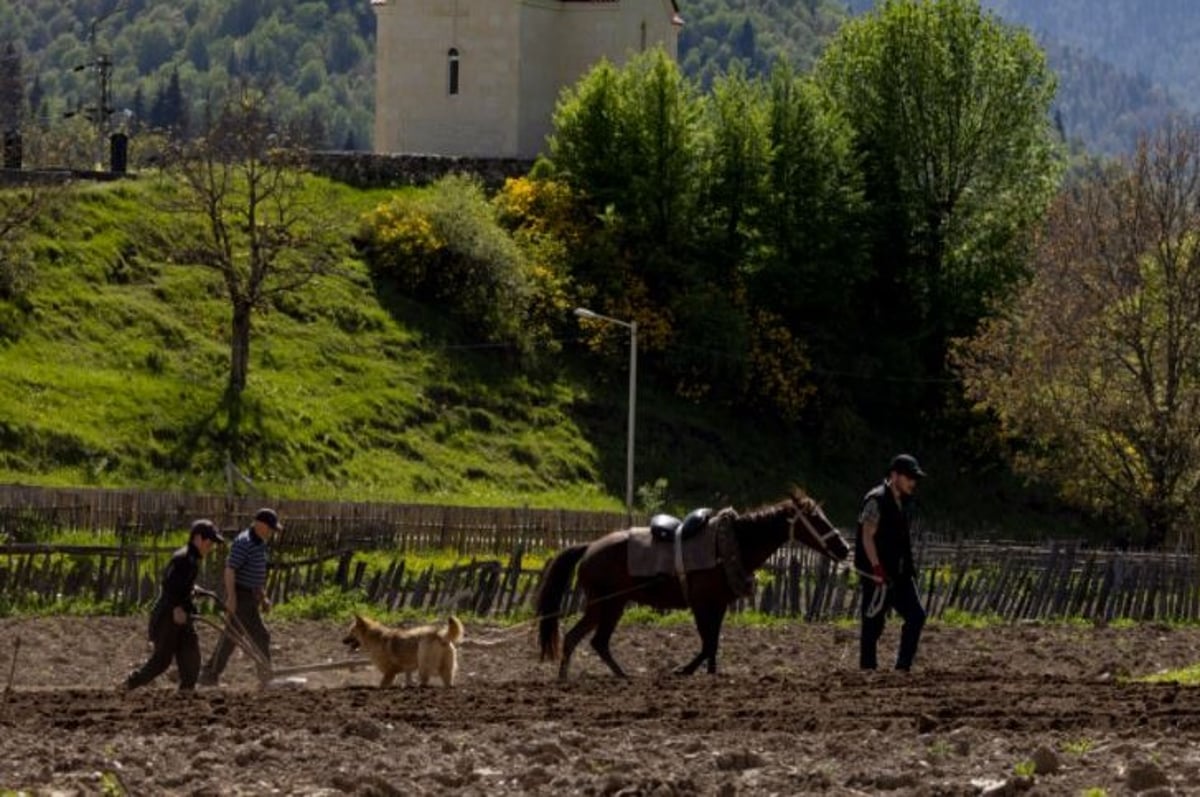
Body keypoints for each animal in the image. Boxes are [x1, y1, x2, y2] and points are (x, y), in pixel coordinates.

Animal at [540, 492, 849, 676]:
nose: (845, 548)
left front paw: (708, 673)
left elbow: (712, 644)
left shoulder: (718, 606)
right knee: (585, 639)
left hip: (610, 605)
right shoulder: (702, 605)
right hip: (606, 604)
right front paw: (684, 670)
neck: (729, 546)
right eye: (815, 519)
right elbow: (707, 643)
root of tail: (590, 547)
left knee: (590, 641)